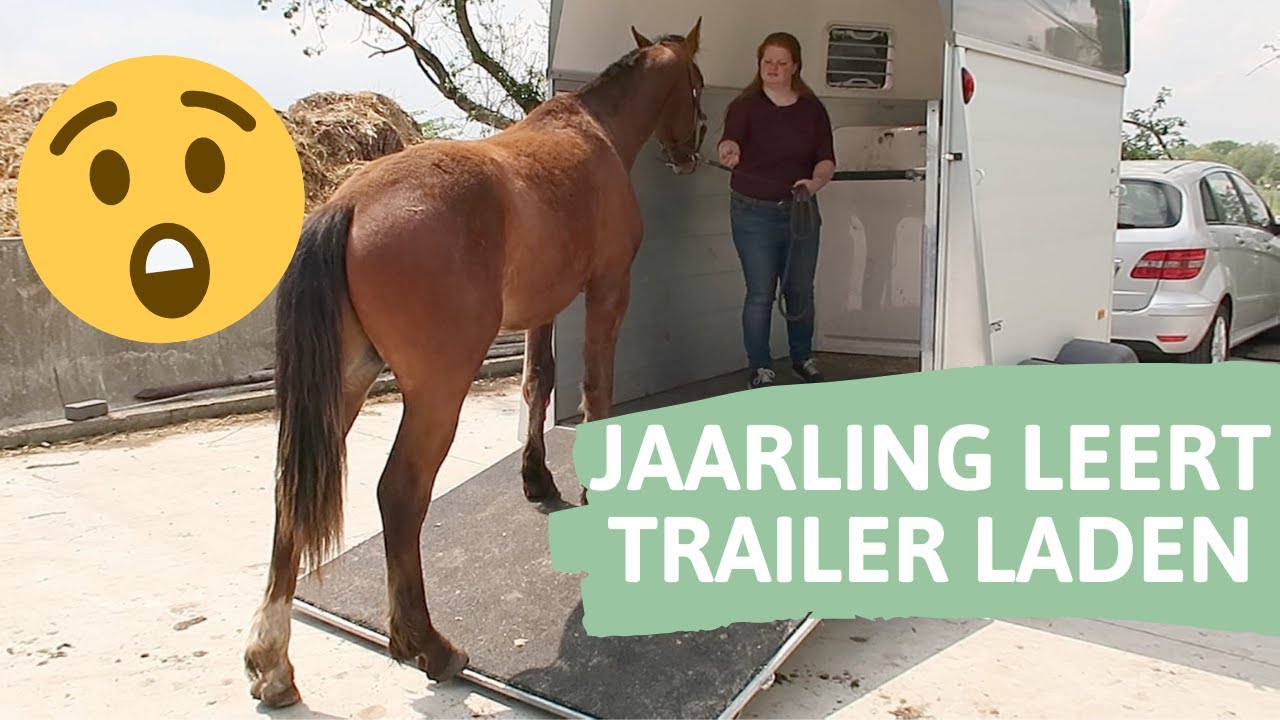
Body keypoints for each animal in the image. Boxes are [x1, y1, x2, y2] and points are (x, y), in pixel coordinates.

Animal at [242, 18, 708, 708]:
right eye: (696, 83)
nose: (691, 150)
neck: (591, 132)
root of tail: (345, 206)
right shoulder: (606, 291)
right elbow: (596, 387)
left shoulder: (545, 308)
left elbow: (538, 384)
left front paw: (537, 479)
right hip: (436, 394)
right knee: (399, 495)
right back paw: (429, 647)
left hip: (341, 388)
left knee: (290, 496)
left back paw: (272, 664)